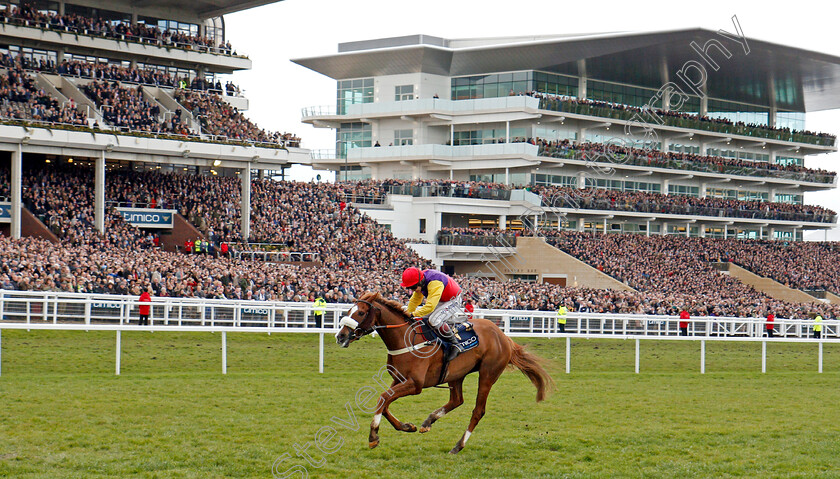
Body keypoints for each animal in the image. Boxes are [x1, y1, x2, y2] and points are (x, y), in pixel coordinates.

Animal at [332, 292, 556, 454]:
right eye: (349, 310)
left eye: (360, 313)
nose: (340, 336)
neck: (406, 339)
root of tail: (504, 337)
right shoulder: (398, 379)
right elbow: (384, 402)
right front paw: (407, 426)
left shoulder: (415, 384)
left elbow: (383, 398)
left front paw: (373, 436)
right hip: (455, 374)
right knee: (457, 400)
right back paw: (428, 421)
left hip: (488, 374)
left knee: (478, 410)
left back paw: (458, 445)